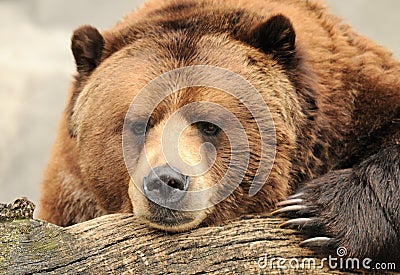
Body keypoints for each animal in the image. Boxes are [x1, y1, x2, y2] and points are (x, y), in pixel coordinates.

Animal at [37, 0, 400, 266]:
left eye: (210, 124)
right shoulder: (69, 196)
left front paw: (314, 215)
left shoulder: (353, 101)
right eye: (139, 124)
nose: (166, 181)